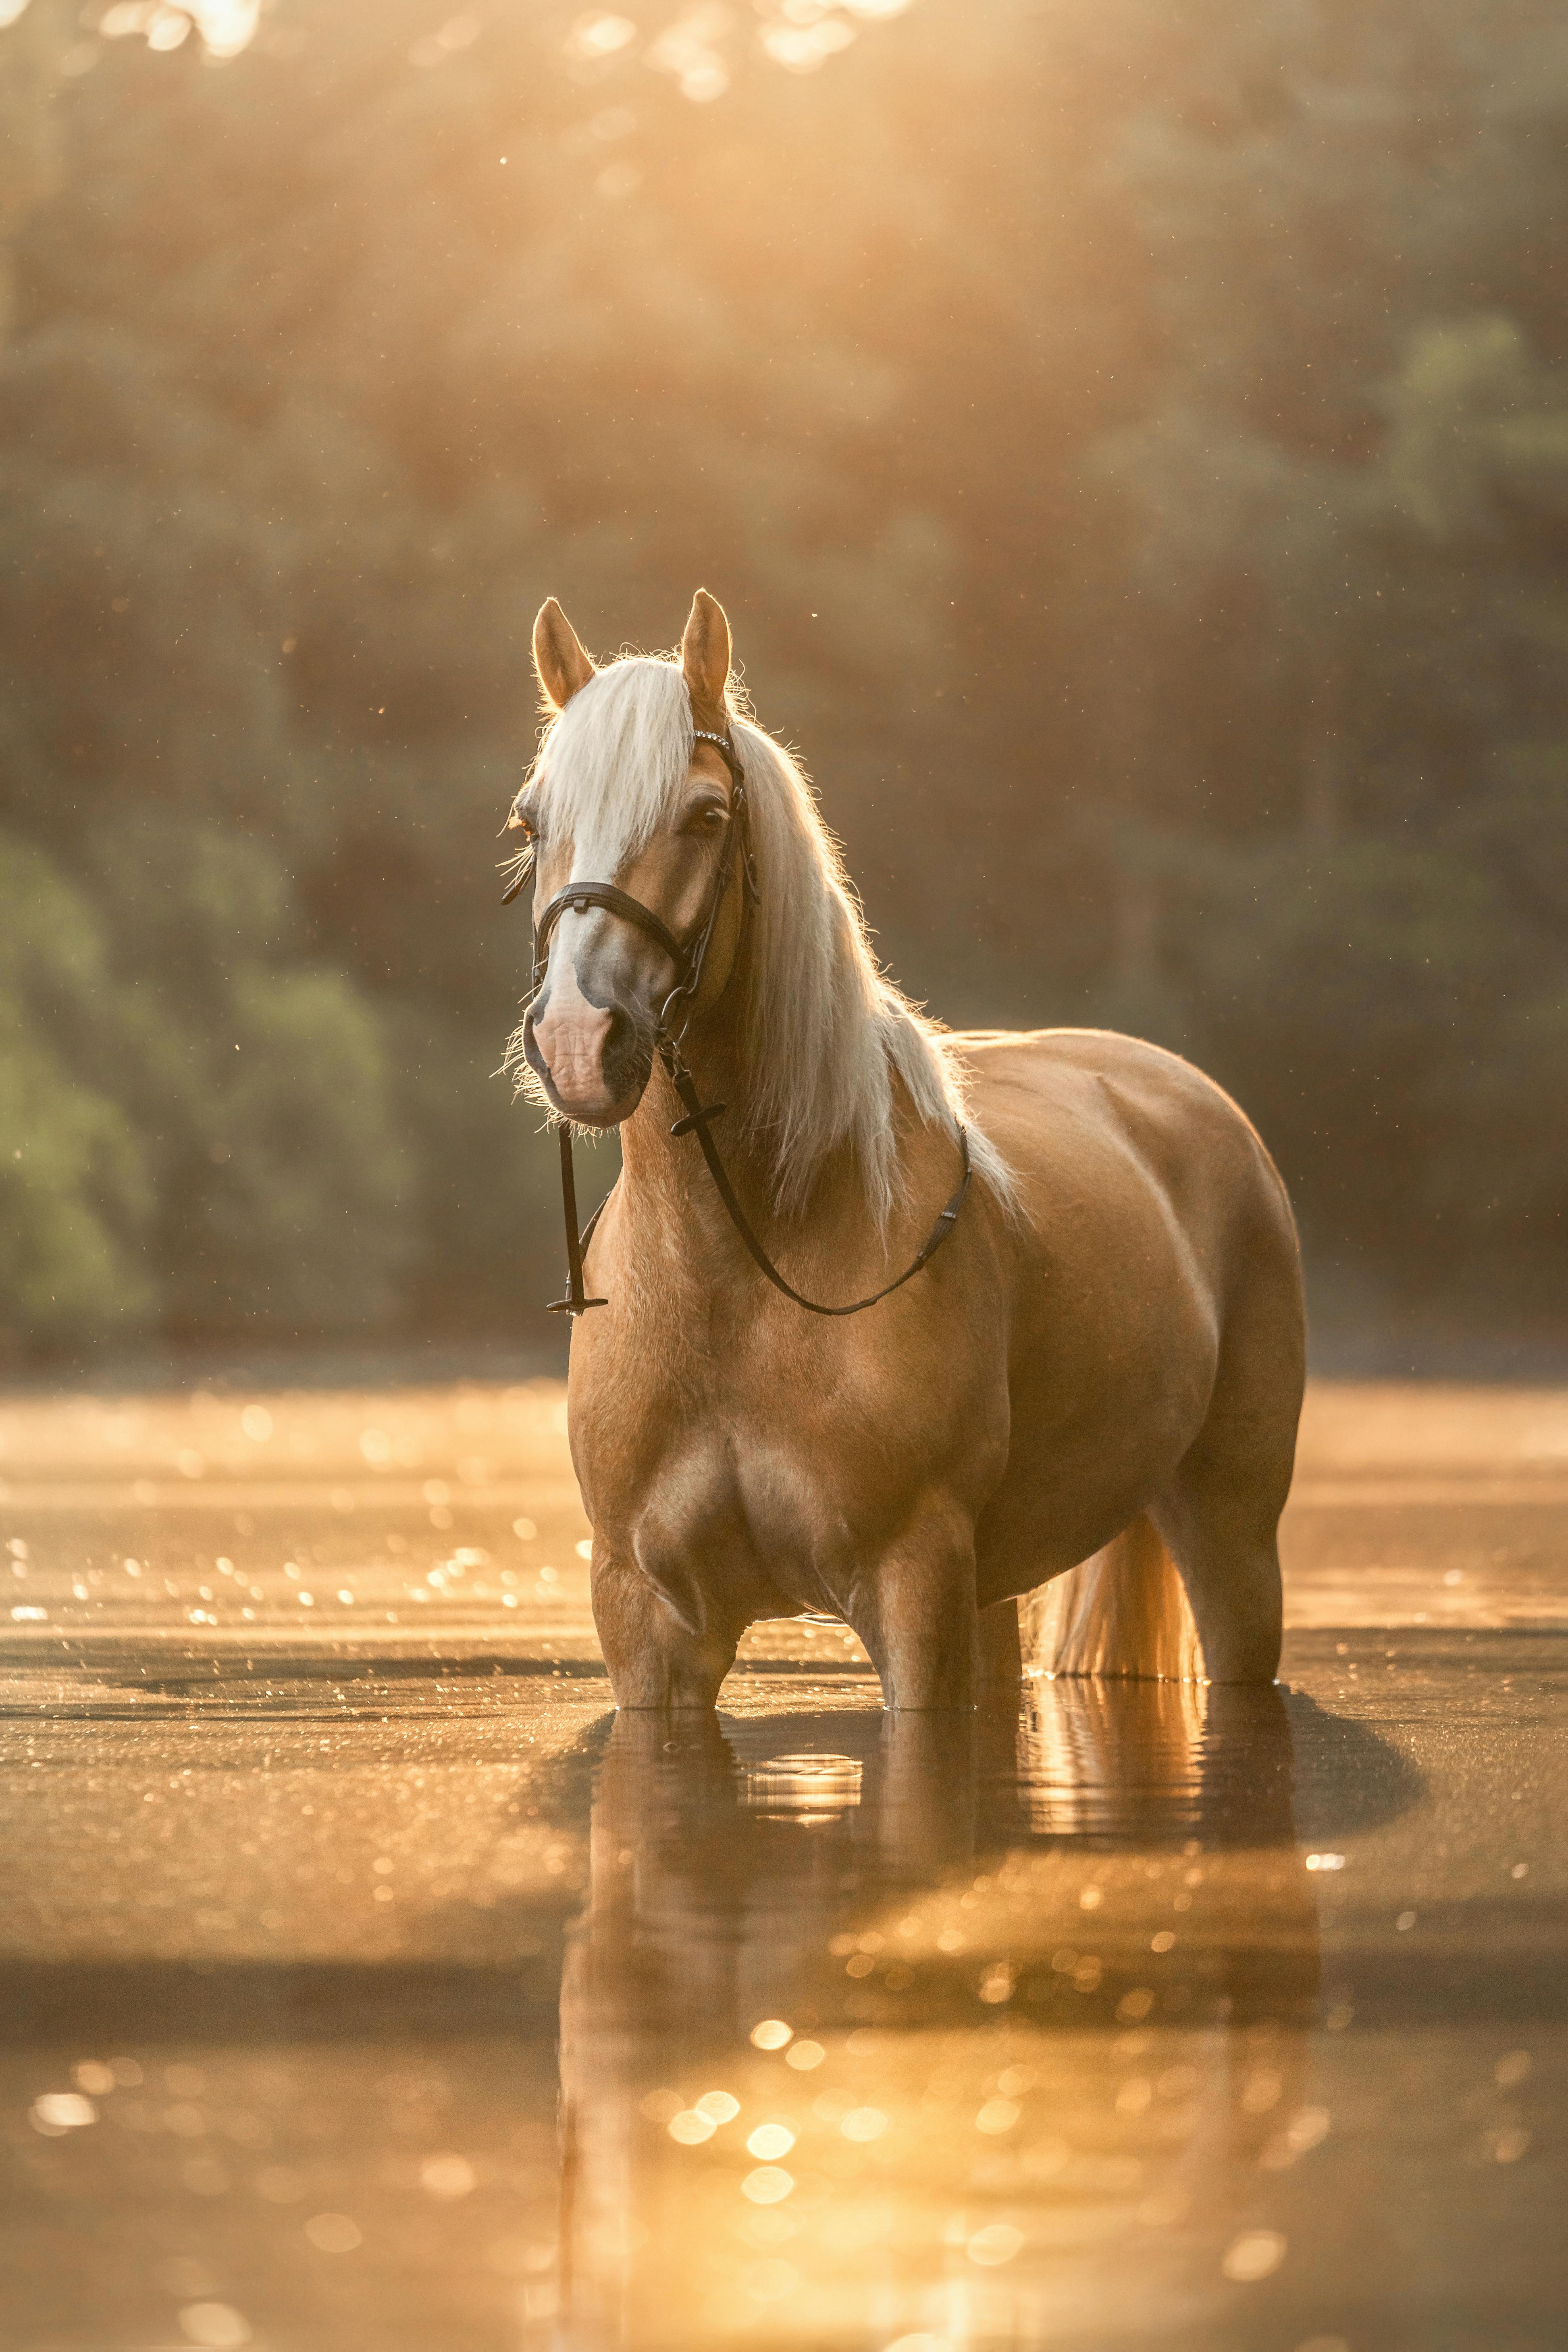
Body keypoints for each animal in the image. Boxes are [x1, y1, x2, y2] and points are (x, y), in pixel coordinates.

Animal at [508, 589, 1305, 1712]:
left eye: (704, 817)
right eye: (531, 822)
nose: (580, 1037)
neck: (737, 1274)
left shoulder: (911, 1583)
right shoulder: (645, 1621)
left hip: (1232, 1534)